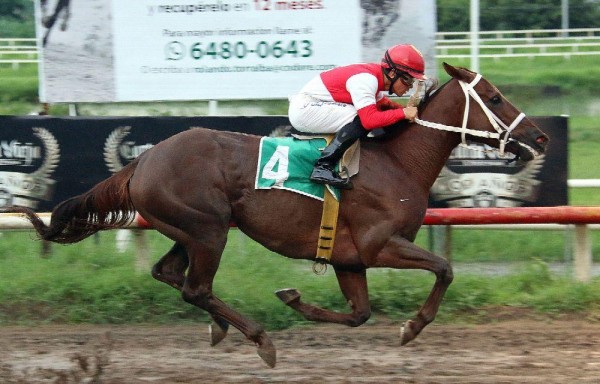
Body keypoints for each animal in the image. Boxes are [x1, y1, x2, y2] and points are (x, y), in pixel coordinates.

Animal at [8, 63, 548, 368]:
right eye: (495, 98)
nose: (540, 138)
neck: (398, 162)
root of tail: (144, 159)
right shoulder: (379, 245)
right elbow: (444, 269)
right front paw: (412, 327)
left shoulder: (348, 258)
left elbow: (358, 313)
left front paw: (294, 298)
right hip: (208, 229)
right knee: (194, 287)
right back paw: (259, 339)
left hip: (188, 227)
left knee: (170, 273)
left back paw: (222, 327)